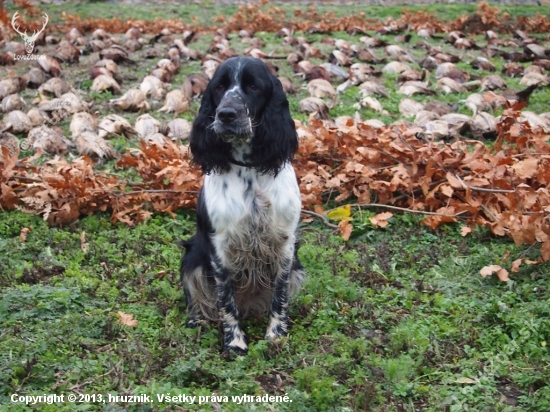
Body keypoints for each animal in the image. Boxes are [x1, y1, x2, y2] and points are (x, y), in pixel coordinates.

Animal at [183, 57, 308, 354]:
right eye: (220, 87)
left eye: (253, 86)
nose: (226, 114)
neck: (248, 170)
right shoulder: (219, 245)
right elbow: (225, 299)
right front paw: (235, 342)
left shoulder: (284, 243)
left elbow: (280, 293)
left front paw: (276, 334)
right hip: (191, 257)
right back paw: (197, 321)